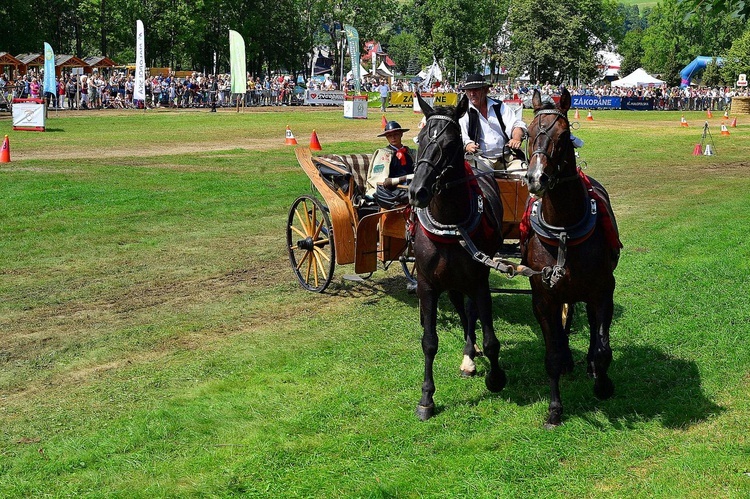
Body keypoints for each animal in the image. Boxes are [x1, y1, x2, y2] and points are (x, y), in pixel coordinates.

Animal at [408, 92, 508, 420]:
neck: (451, 225)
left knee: (471, 311)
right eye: (420, 139)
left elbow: (490, 338)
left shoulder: (479, 281)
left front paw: (496, 377)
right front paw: (426, 398)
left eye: (451, 143)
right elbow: (429, 342)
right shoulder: (428, 285)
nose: (417, 191)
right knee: (462, 309)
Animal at [524, 88, 624, 428]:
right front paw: (555, 408)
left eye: (564, 134)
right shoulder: (543, 297)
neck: (564, 231)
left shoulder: (603, 290)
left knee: (593, 327)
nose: (536, 177)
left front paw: (603, 383)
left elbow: (603, 346)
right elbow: (552, 353)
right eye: (528, 133)